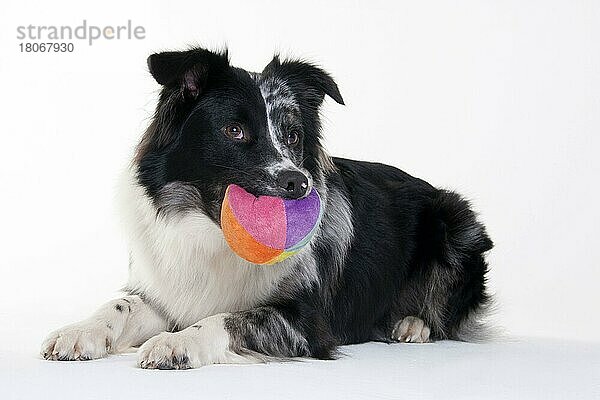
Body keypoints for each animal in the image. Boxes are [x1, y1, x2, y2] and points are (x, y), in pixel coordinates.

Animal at [41, 47, 492, 368]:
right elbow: (120, 304)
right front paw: (78, 332)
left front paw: (177, 341)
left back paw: (411, 324)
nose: (299, 183)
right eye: (234, 131)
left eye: (292, 136)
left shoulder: (305, 320)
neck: (213, 236)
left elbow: (231, 318)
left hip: (456, 222)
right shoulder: (169, 292)